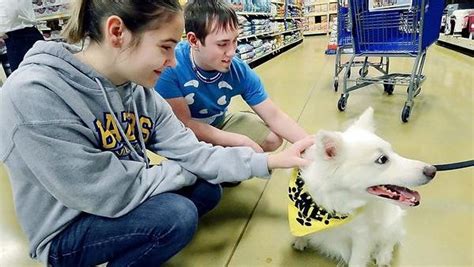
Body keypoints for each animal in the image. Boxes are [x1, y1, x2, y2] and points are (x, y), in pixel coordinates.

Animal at [290, 107, 438, 267]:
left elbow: (357, 261)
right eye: (382, 159)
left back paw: (383, 256)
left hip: (391, 223)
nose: (433, 170)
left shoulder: (362, 238)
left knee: (391, 240)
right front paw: (300, 239)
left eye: (393, 151)